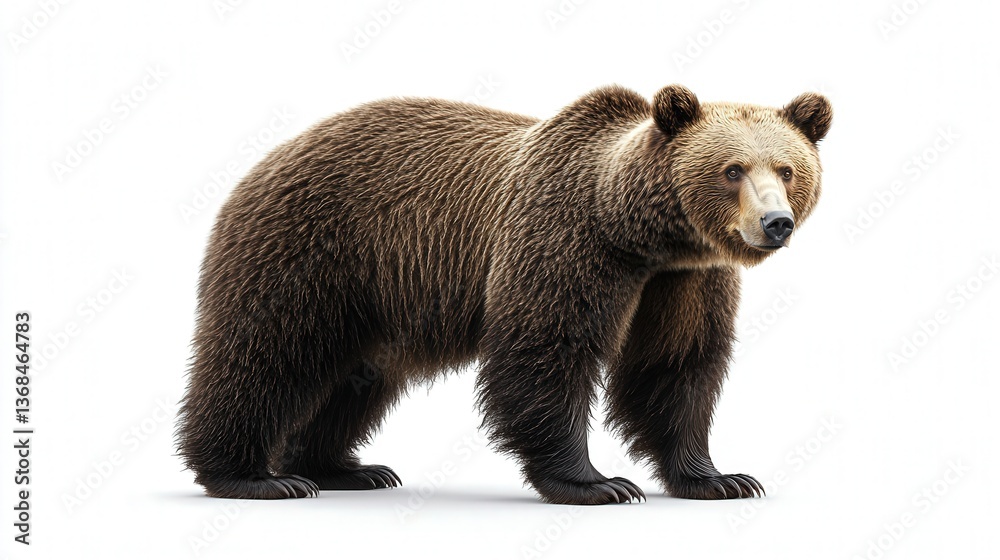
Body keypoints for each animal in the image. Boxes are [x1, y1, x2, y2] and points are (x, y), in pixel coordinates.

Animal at [176, 84, 831, 504]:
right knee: (265, 351)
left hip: (377, 298)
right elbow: (545, 351)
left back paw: (344, 468)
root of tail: (265, 161)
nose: (775, 223)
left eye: (788, 169)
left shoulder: (684, 280)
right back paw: (252, 476)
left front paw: (719, 478)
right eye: (732, 169)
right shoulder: (565, 241)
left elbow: (675, 364)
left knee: (357, 376)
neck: (641, 235)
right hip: (313, 251)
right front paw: (597, 482)